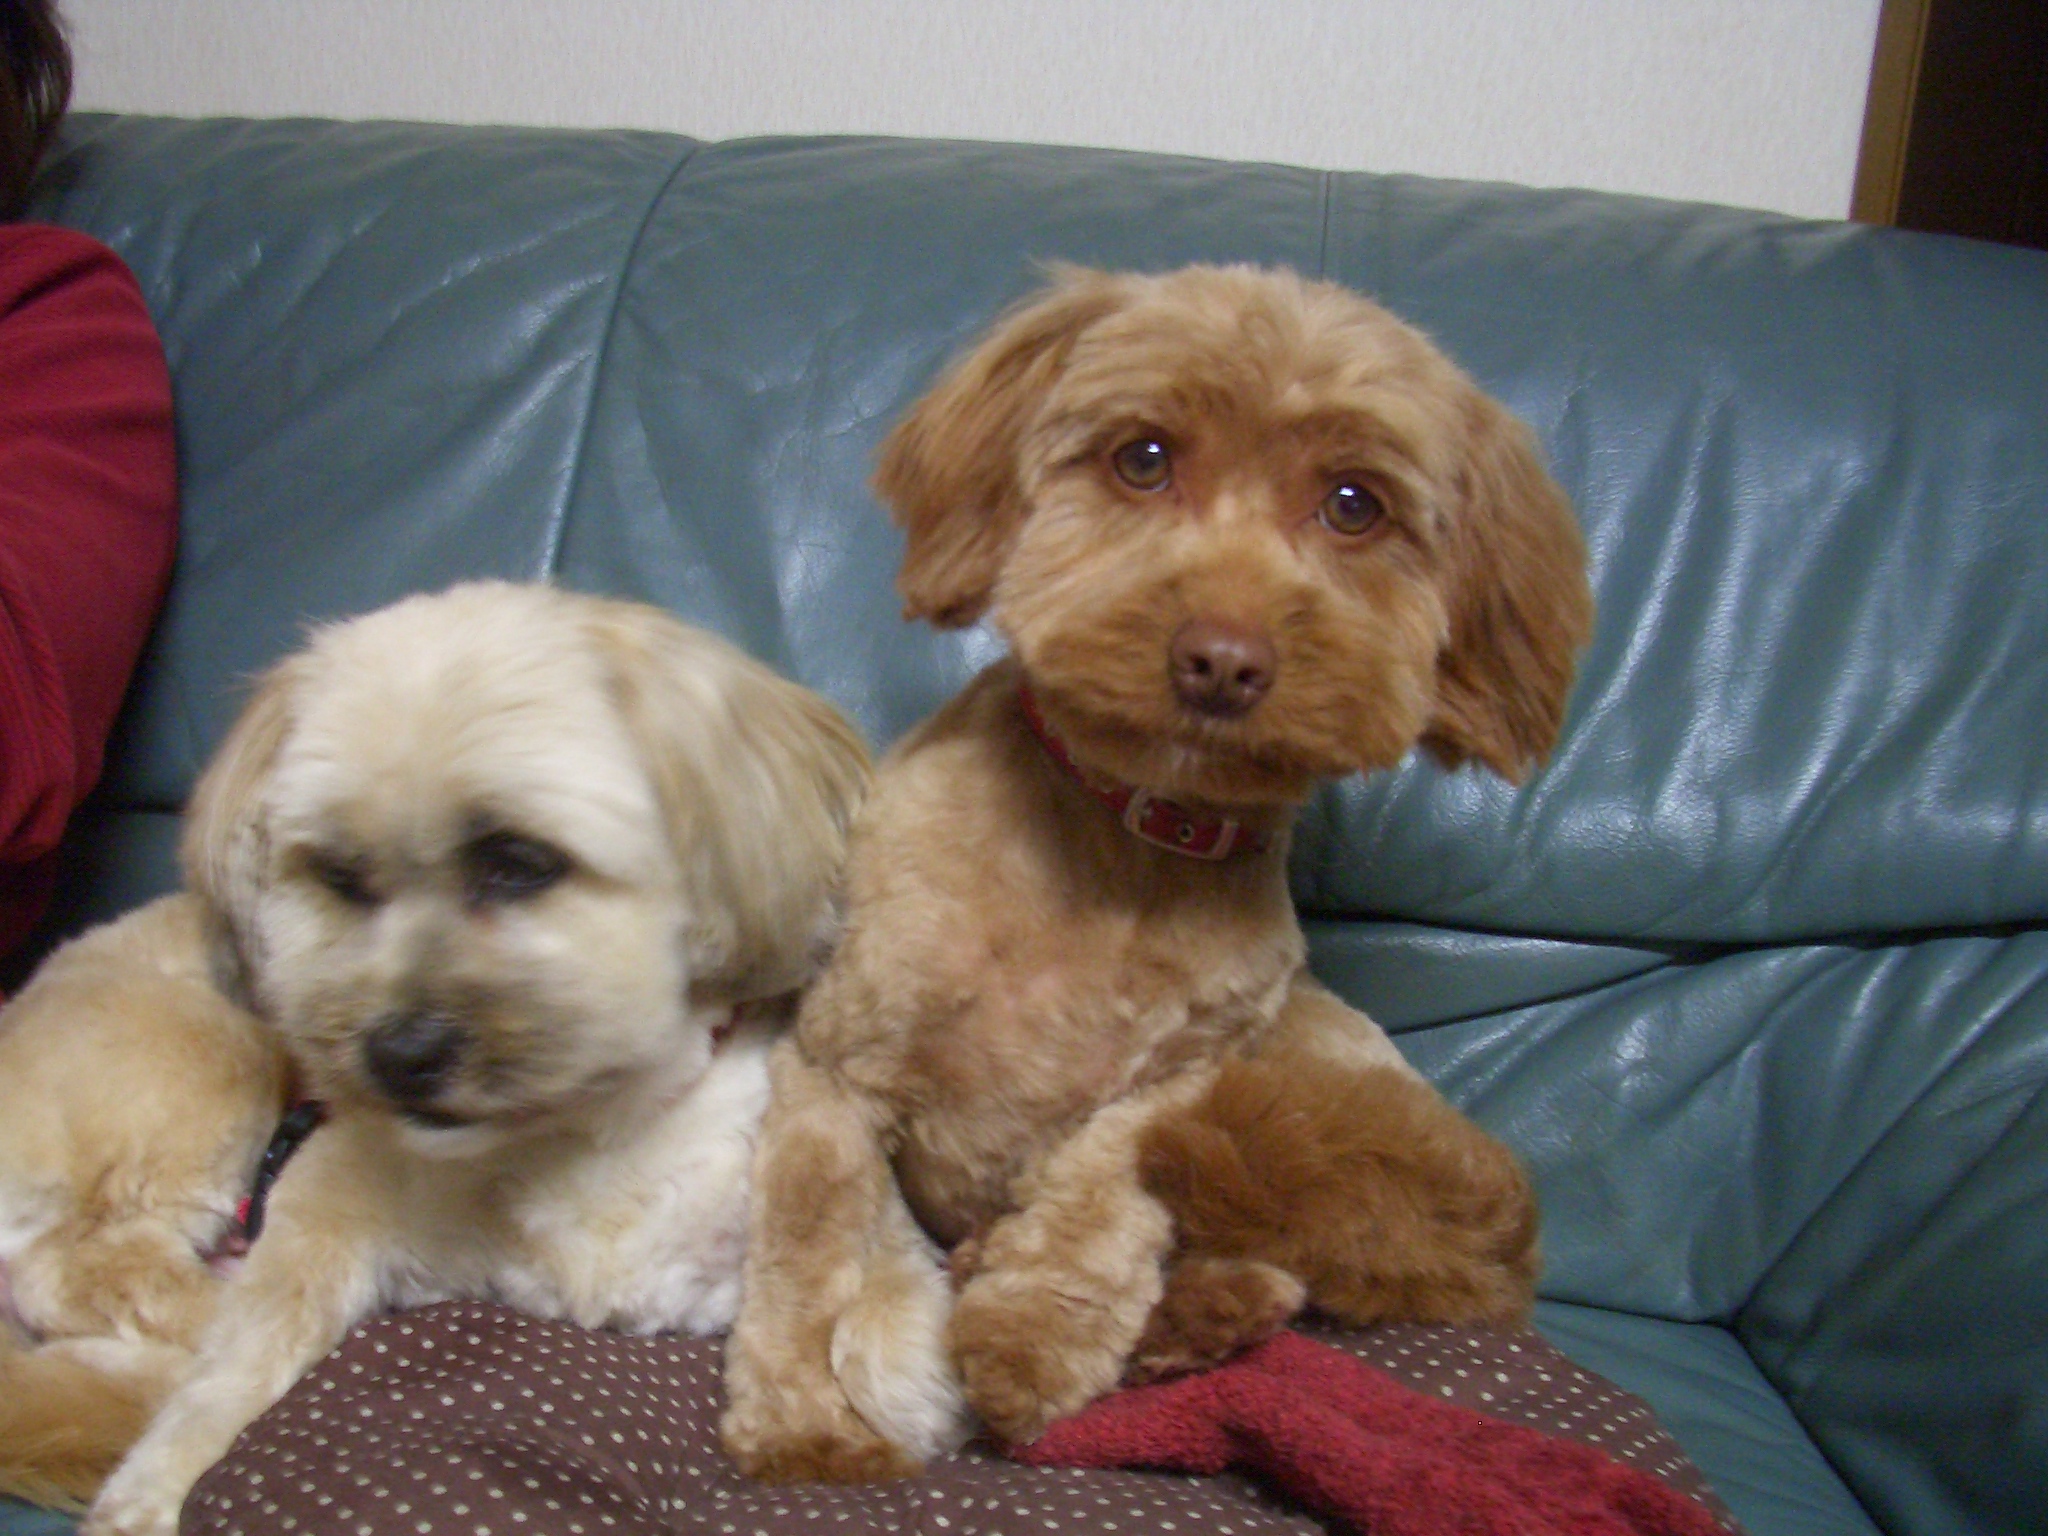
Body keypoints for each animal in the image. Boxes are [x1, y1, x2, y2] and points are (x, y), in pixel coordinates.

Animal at [0, 581, 869, 1536]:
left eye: (520, 863)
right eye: (339, 876)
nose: (398, 1051)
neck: (582, 1134)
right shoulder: (323, 1205)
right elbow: (241, 1360)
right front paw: (156, 1486)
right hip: (204, 1062)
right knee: (80, 1268)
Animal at [720, 263, 1594, 1481]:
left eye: (1352, 504)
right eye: (1142, 457)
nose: (1222, 661)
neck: (1122, 841)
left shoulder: (1187, 1073)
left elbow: (1107, 1183)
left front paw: (1030, 1337)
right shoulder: (835, 1065)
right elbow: (810, 1238)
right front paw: (803, 1416)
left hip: (1312, 1054)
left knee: (1291, 1256)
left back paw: (1169, 1317)